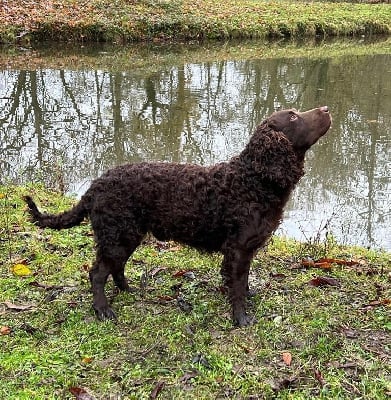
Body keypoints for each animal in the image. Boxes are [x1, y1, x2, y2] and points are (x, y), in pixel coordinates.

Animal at [23, 106, 330, 324]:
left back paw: (128, 289)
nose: (326, 108)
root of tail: (94, 186)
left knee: (115, 268)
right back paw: (103, 310)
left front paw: (246, 295)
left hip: (125, 235)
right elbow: (237, 286)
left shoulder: (244, 250)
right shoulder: (239, 248)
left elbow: (241, 281)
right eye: (293, 116)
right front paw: (241, 317)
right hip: (117, 234)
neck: (253, 180)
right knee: (97, 273)